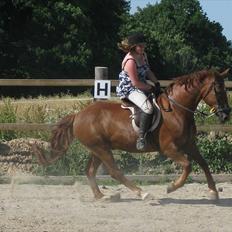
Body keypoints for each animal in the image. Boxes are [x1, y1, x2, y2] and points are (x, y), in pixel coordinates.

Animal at [33, 68, 230, 199]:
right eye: (219, 90)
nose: (226, 114)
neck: (177, 110)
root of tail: (78, 115)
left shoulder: (189, 144)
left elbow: (203, 163)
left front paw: (213, 191)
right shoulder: (169, 149)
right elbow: (188, 165)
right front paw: (172, 187)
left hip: (97, 149)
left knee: (90, 170)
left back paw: (101, 196)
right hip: (102, 149)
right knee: (114, 171)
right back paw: (141, 193)